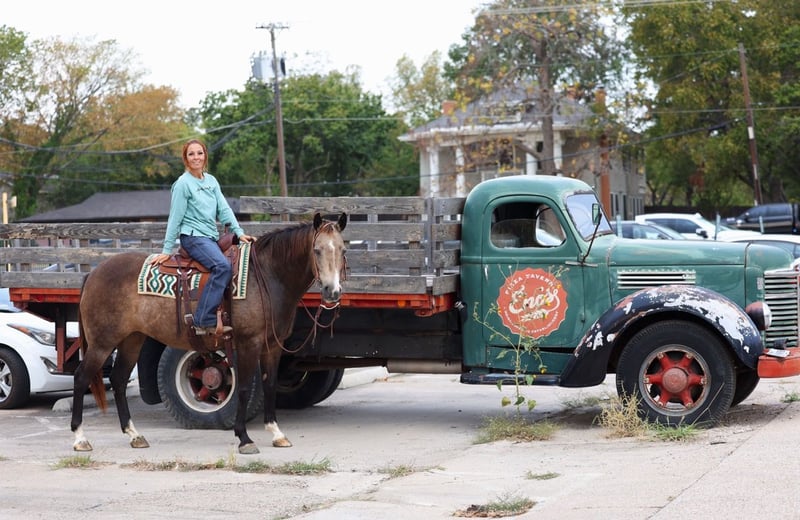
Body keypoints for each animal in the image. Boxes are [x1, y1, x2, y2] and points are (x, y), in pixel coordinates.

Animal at [70, 212, 347, 454]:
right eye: (317, 250)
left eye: (343, 250)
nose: (332, 291)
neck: (268, 277)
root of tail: (93, 272)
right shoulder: (248, 343)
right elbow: (243, 387)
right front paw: (244, 438)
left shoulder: (273, 345)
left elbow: (270, 384)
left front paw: (277, 433)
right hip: (102, 343)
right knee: (81, 378)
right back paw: (80, 438)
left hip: (132, 340)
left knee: (118, 379)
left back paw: (134, 435)